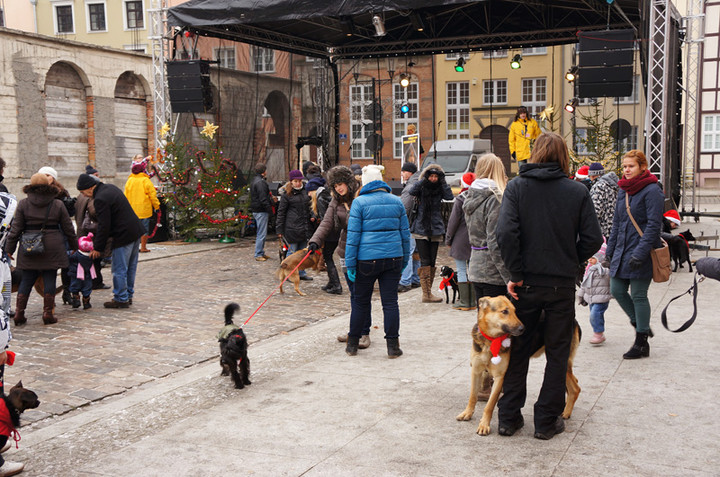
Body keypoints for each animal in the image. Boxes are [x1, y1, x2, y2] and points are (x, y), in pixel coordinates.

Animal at [458, 296, 584, 436]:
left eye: (514, 311)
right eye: (505, 311)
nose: (523, 329)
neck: (491, 340)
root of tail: (574, 321)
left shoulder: (500, 377)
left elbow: (489, 405)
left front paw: (484, 425)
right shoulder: (476, 371)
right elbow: (472, 396)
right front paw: (467, 413)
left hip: (562, 362)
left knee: (576, 388)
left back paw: (566, 413)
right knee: (575, 382)